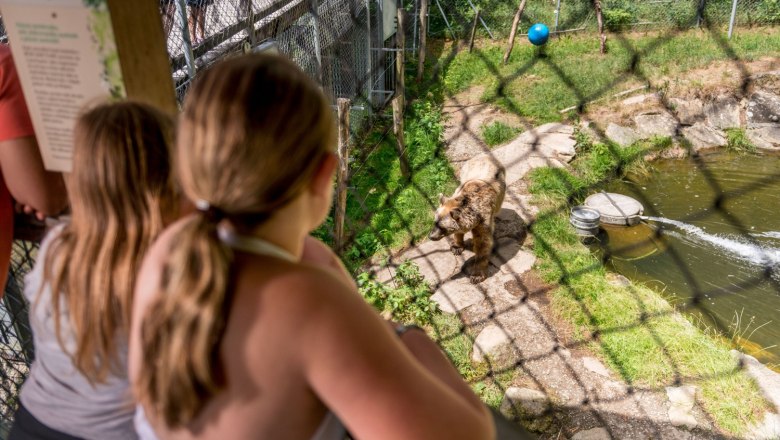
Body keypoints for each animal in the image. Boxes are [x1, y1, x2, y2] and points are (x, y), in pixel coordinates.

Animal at [426, 156, 506, 284]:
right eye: (435, 222)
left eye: (442, 227)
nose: (431, 236)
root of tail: (485, 155)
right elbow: (459, 232)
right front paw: (456, 247)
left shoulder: (483, 219)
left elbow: (482, 243)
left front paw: (476, 275)